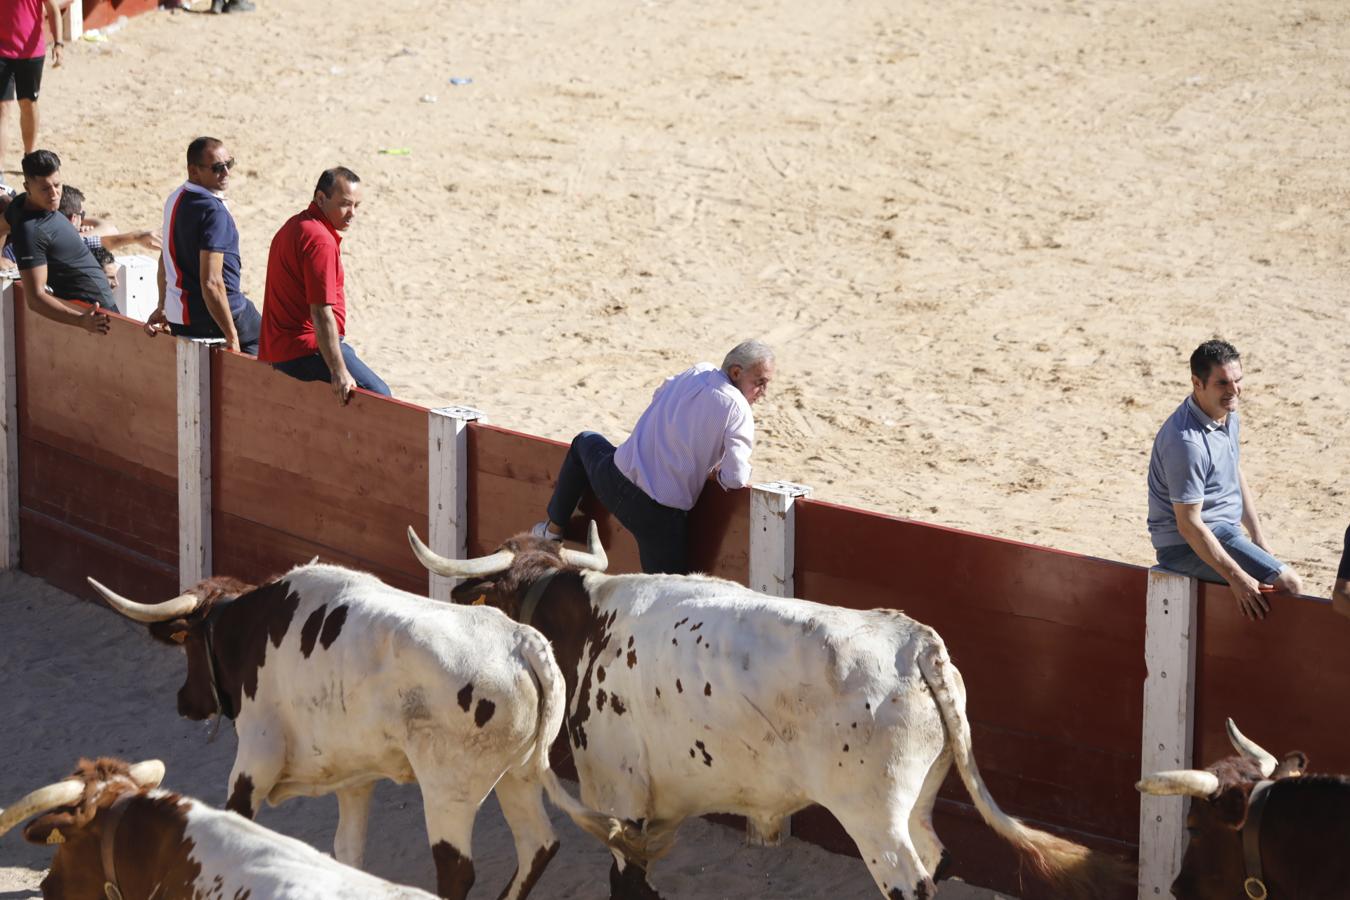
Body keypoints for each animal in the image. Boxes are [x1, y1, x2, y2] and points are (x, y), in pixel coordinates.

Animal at [85, 564, 642, 900]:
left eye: (188, 646)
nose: (185, 701)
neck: (251, 629)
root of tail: (523, 643)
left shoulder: (253, 763)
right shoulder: (354, 779)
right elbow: (347, 850)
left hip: (449, 790)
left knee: (457, 868)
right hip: (518, 775)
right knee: (537, 846)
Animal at [407, 523, 1128, 900]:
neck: (586, 624)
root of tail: (915, 641)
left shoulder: (620, 798)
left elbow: (629, 885)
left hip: (873, 819)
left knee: (911, 880)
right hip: (919, 800)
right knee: (939, 857)